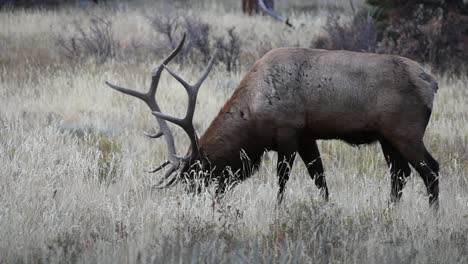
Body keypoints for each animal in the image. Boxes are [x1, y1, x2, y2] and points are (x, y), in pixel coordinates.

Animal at [106, 35, 438, 207]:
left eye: (200, 173)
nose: (189, 200)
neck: (253, 116)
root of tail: (431, 83)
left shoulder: (287, 134)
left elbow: (283, 182)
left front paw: (280, 211)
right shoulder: (306, 136)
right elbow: (320, 180)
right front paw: (325, 208)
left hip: (406, 132)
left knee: (430, 169)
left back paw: (432, 215)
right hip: (387, 137)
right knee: (400, 175)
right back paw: (390, 211)